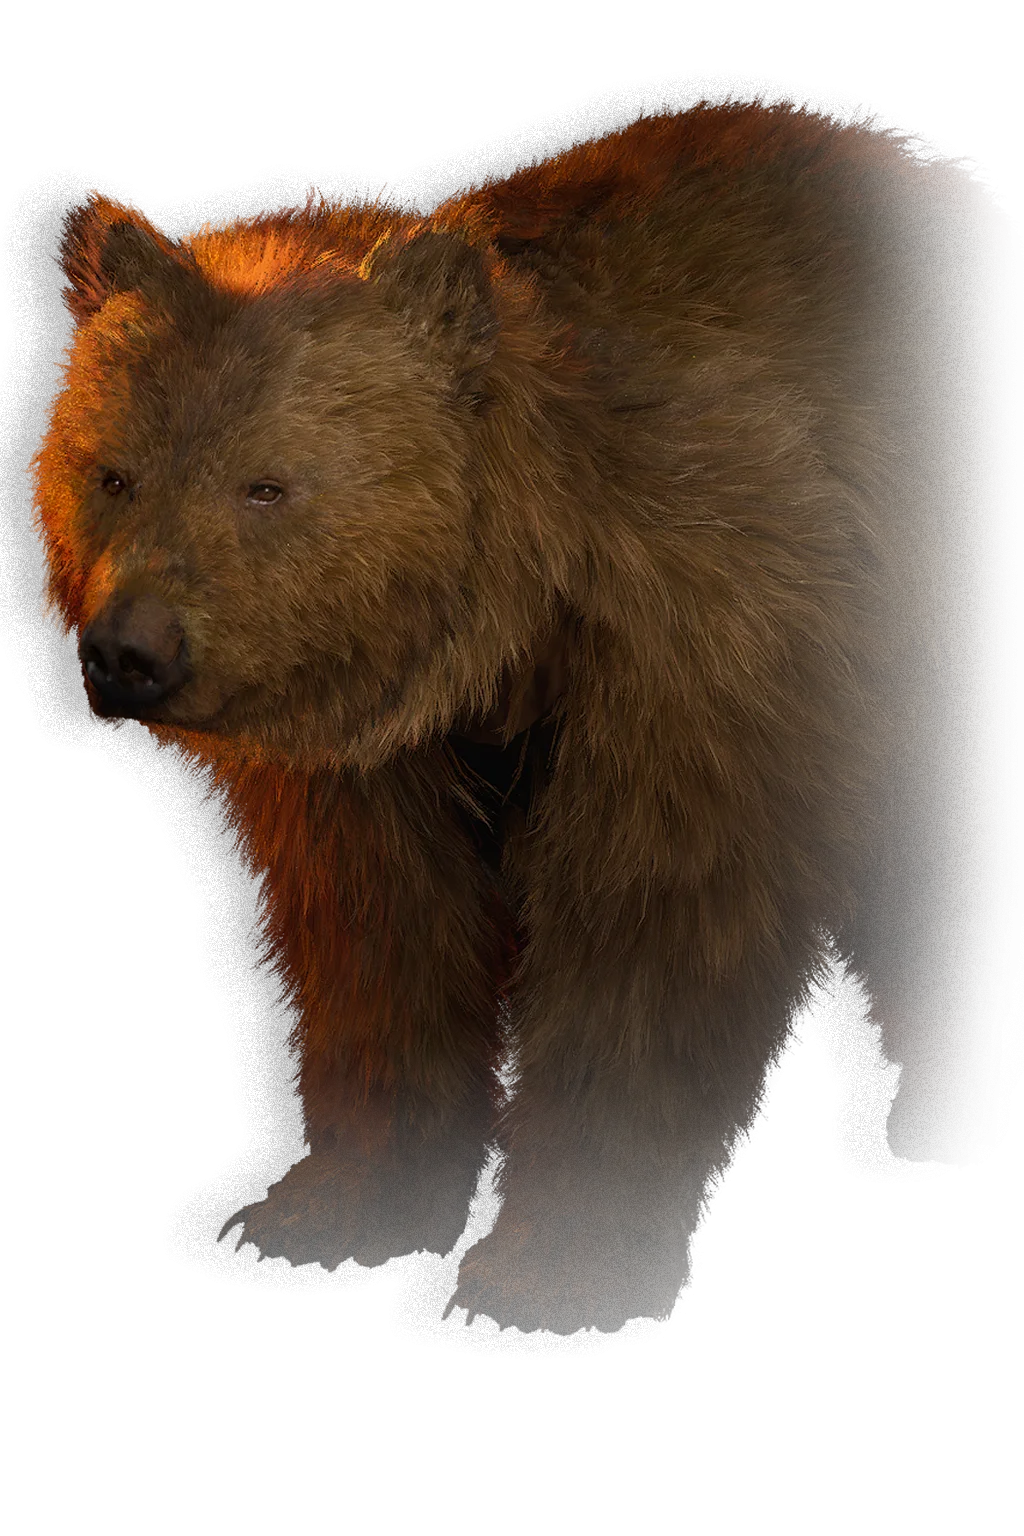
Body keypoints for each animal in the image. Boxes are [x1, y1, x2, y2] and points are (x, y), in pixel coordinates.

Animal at [30, 97, 1023, 1333]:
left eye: (267, 484)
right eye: (111, 472)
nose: (130, 652)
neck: (505, 625)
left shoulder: (711, 647)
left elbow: (648, 939)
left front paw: (547, 1267)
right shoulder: (361, 767)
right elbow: (379, 939)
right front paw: (328, 1207)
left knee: (961, 869)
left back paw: (964, 1110)